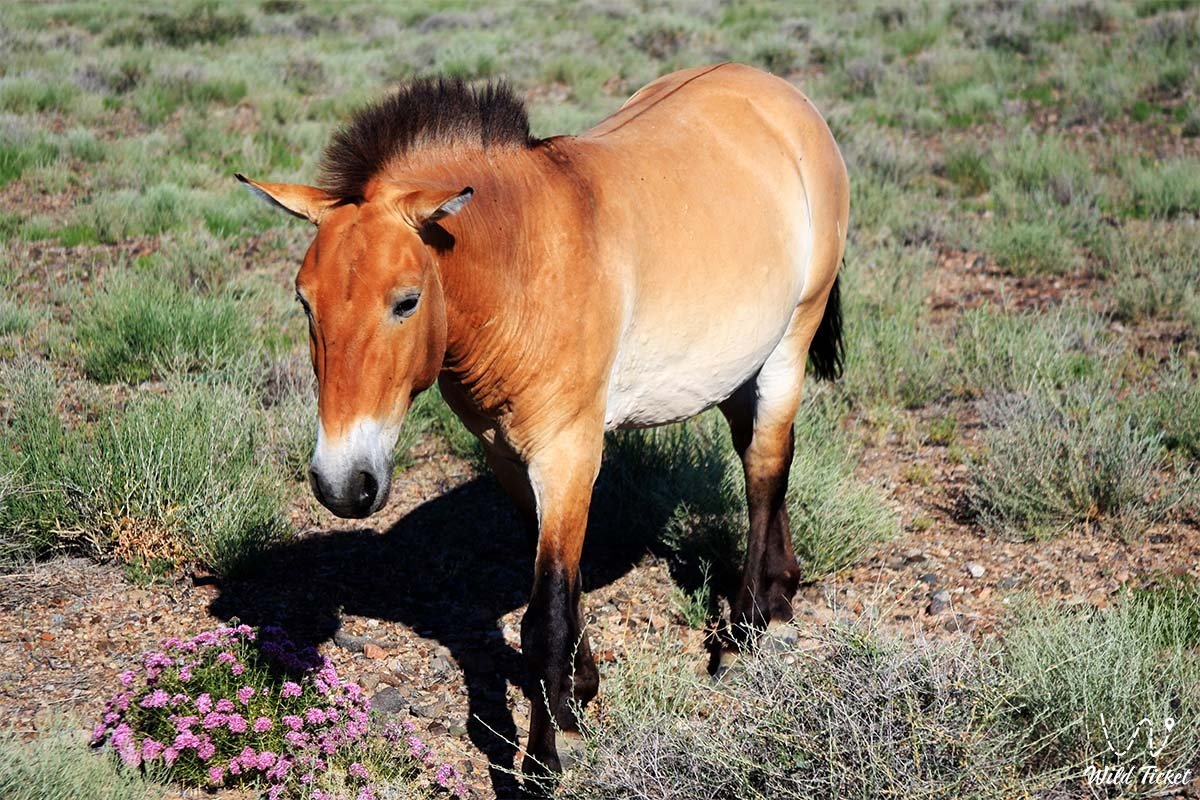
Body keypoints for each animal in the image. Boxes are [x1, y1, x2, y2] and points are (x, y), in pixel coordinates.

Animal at [238, 62, 848, 777]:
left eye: (406, 302)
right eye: (304, 301)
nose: (342, 485)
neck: (525, 267)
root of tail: (781, 96)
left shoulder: (567, 455)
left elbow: (545, 616)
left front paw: (544, 756)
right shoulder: (509, 459)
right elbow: (564, 585)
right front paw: (579, 693)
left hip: (790, 341)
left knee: (764, 468)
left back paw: (747, 627)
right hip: (734, 360)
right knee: (758, 451)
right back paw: (781, 593)